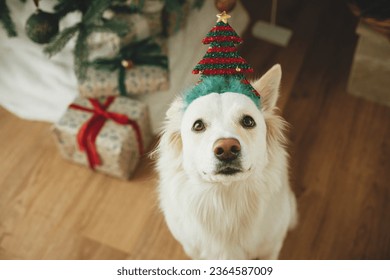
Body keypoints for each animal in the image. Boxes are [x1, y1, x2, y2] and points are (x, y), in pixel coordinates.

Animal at [154, 64, 298, 260]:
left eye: (248, 121)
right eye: (198, 125)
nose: (227, 149)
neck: (227, 202)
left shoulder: (271, 248)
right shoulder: (194, 250)